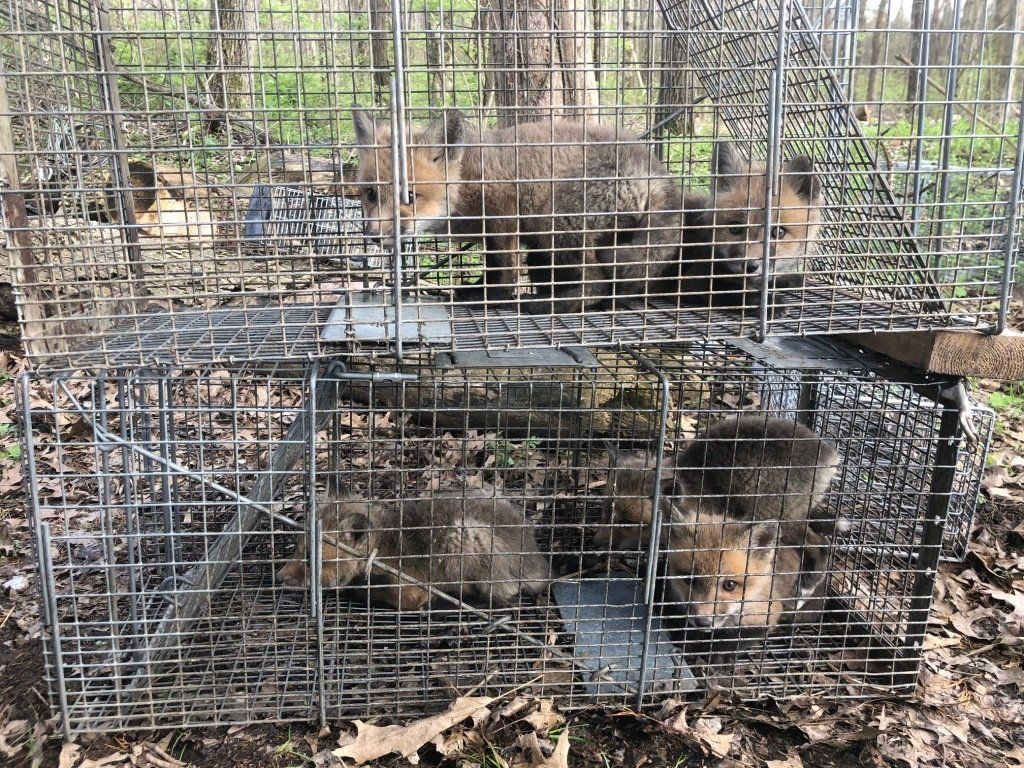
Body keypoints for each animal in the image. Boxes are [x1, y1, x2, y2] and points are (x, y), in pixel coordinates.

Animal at [276, 488, 550, 610]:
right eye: (297, 549)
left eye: (311, 558)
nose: (278, 577)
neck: (382, 549)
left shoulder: (408, 590)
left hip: (464, 535)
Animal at [351, 108, 677, 306]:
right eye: (370, 194)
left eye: (409, 196)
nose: (374, 236)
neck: (467, 180)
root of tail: (656, 171)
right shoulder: (490, 233)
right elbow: (491, 268)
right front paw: (476, 290)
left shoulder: (504, 215)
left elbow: (505, 271)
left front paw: (489, 298)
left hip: (556, 228)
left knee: (597, 283)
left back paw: (548, 305)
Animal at [674, 142, 822, 310]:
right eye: (735, 228)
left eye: (778, 232)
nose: (750, 266)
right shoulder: (690, 282)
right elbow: (735, 291)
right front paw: (769, 302)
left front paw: (786, 280)